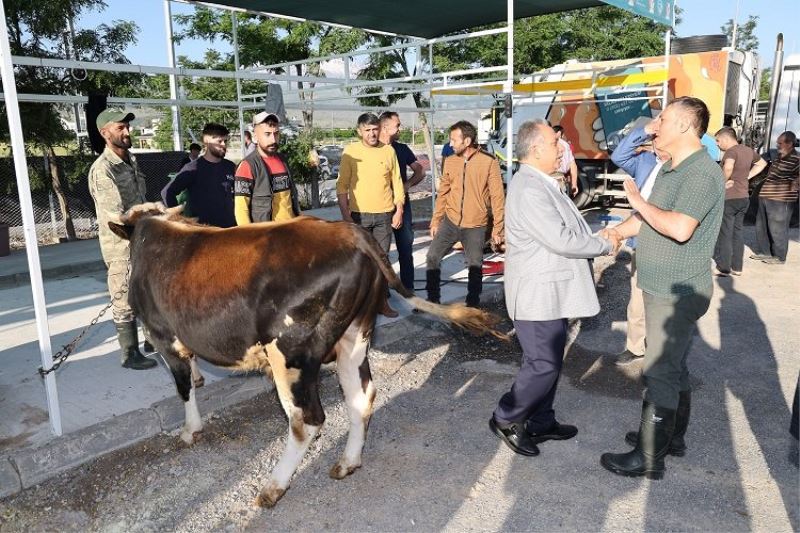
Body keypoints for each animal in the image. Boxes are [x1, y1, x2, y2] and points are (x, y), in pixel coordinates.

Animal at [108, 204, 504, 508]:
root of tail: (349, 233)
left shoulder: (162, 336)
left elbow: (182, 387)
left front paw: (190, 429)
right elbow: (191, 375)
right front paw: (200, 383)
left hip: (290, 354)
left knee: (307, 419)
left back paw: (273, 488)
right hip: (352, 339)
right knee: (362, 399)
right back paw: (347, 463)